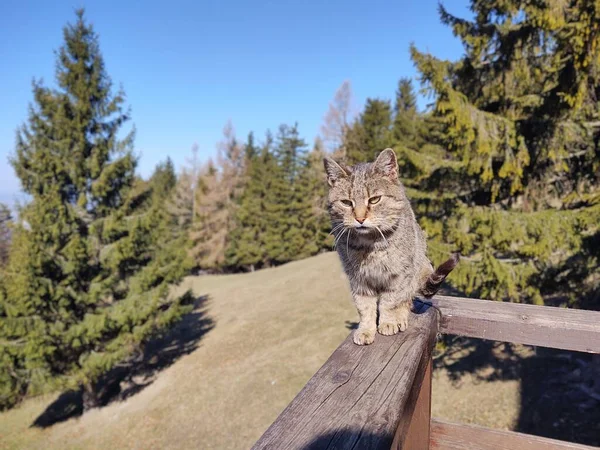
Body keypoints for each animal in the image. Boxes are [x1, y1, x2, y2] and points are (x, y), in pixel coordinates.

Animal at [324, 149, 460, 346]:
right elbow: (365, 308)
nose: (359, 218)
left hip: (416, 270)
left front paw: (388, 322)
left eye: (374, 200)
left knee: (406, 300)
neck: (369, 245)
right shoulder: (358, 280)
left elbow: (389, 302)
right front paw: (366, 330)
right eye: (346, 203)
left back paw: (400, 318)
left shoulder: (399, 275)